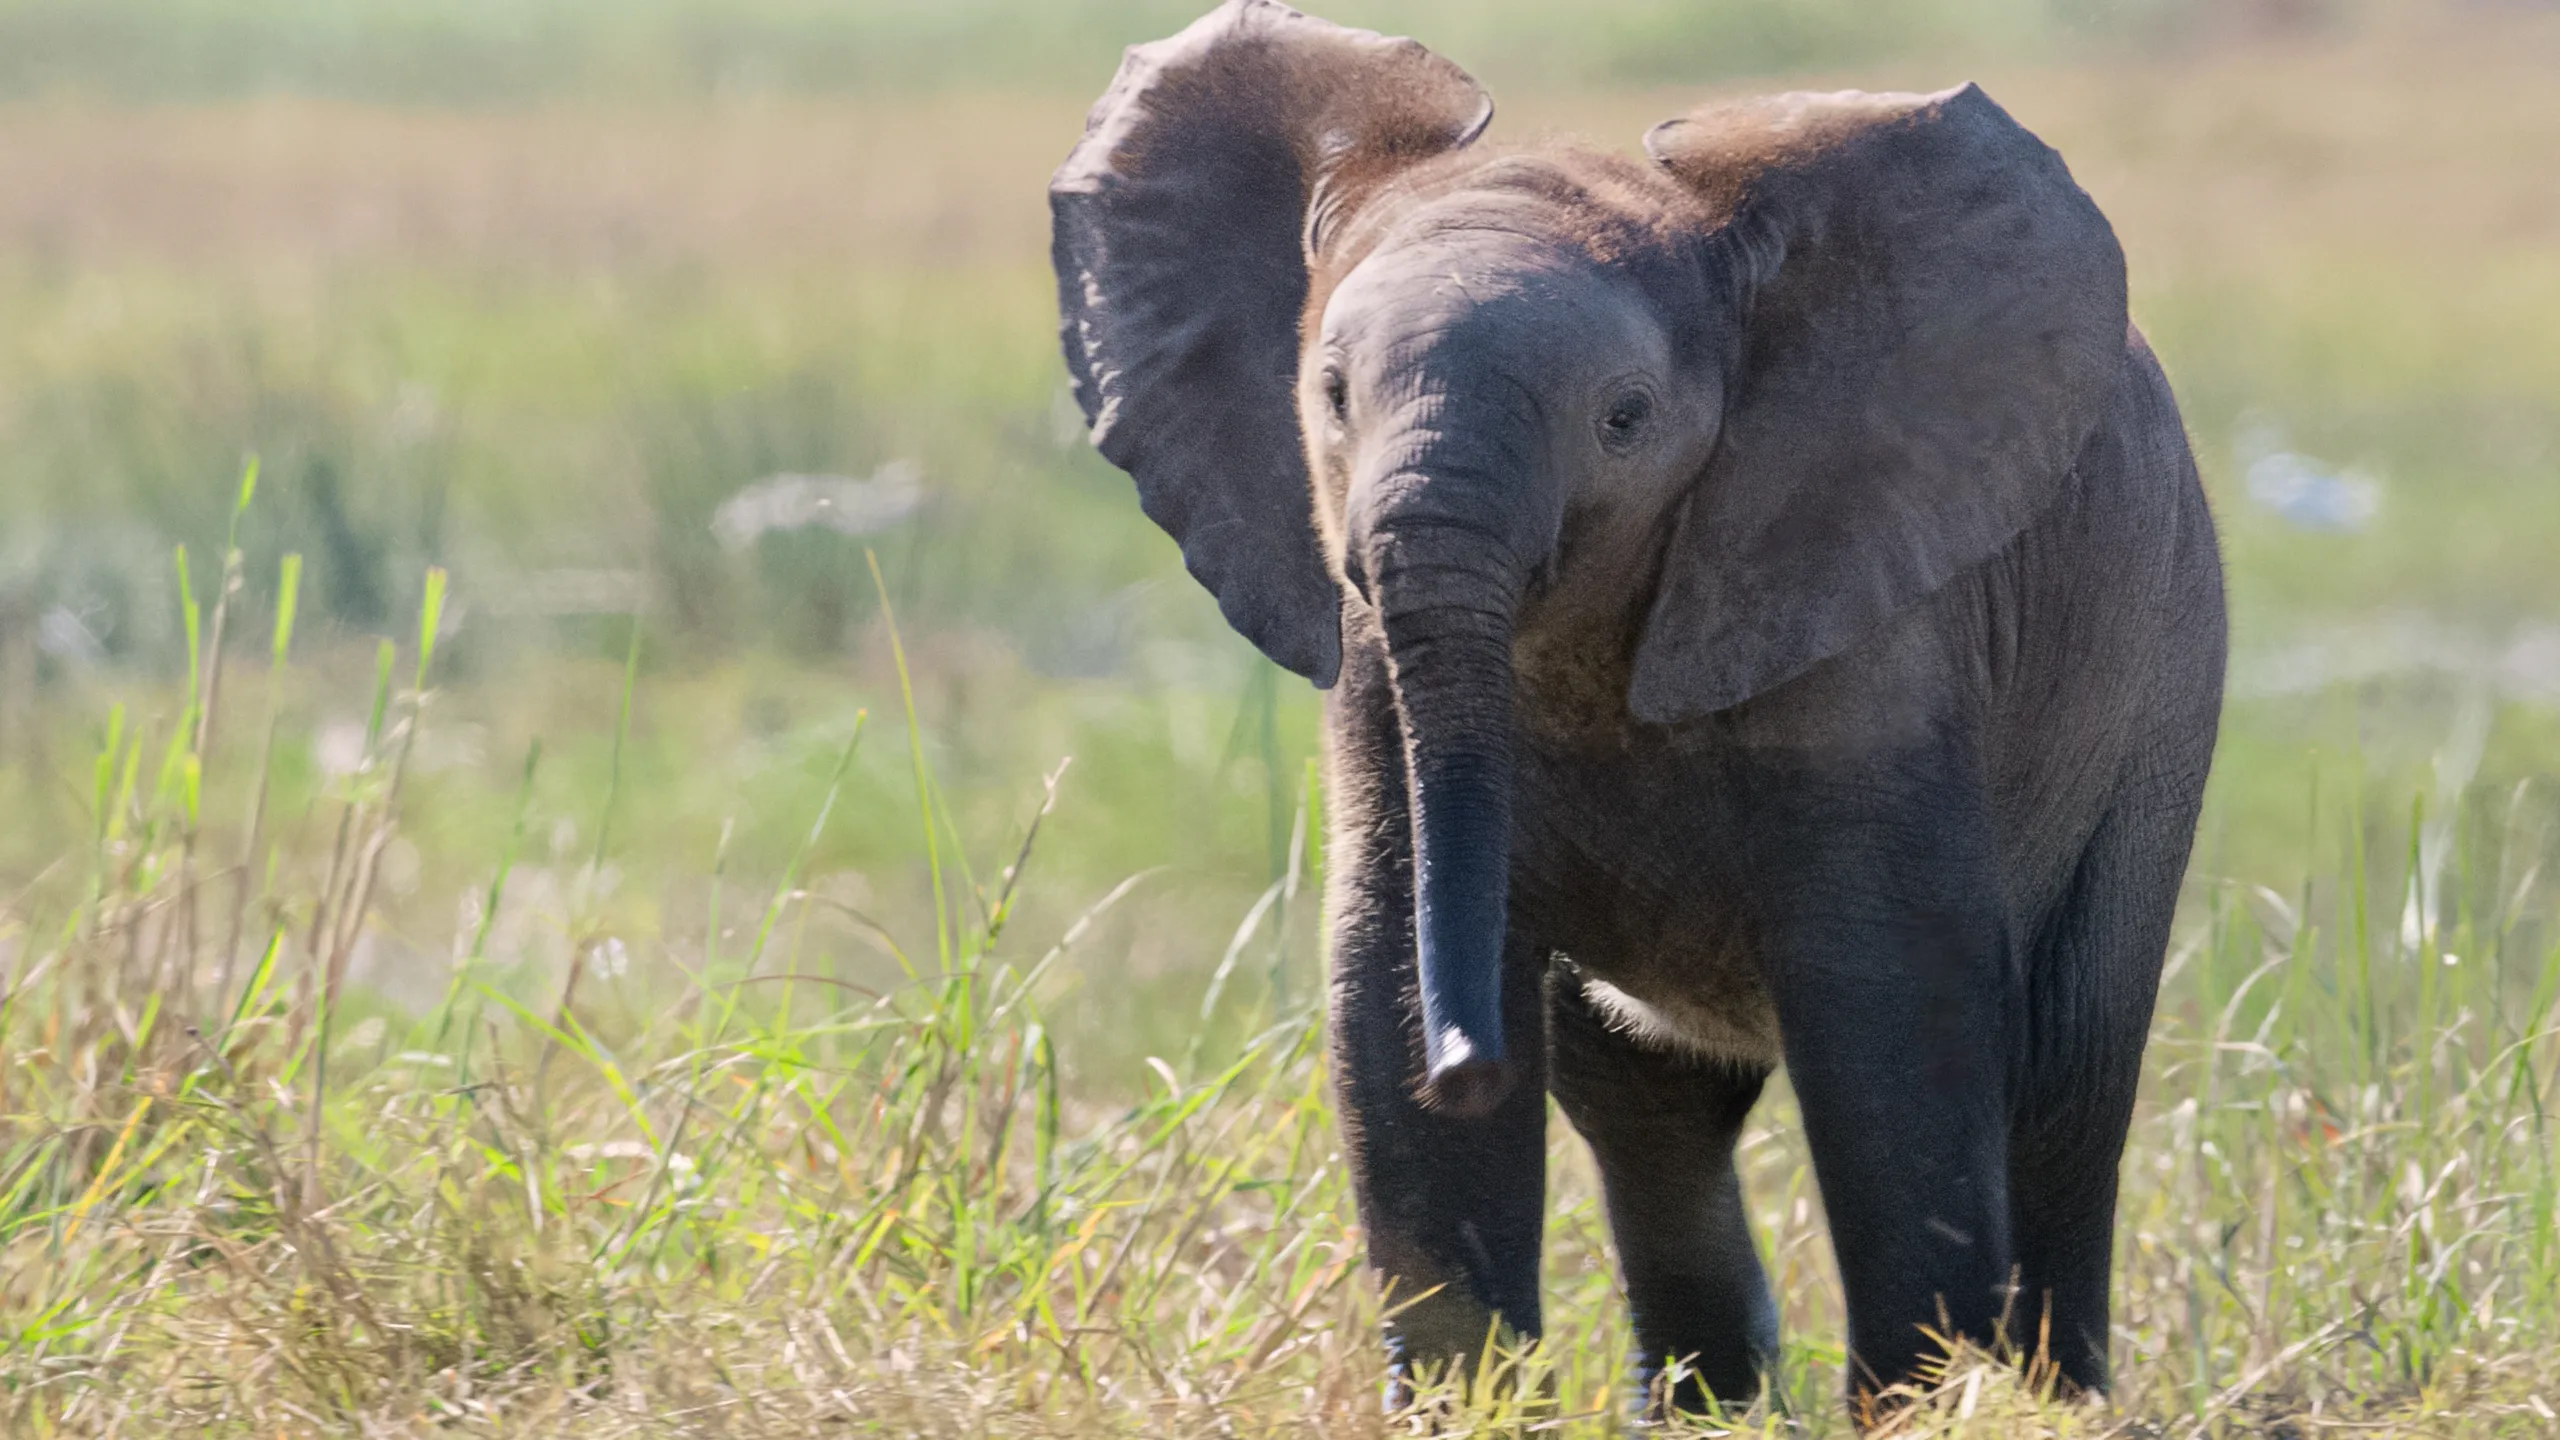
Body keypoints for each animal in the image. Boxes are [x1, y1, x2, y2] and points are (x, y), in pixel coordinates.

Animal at [1049, 0, 2225, 1416]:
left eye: (1623, 418)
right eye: (1328, 394)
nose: (1469, 1063)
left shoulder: (1868, 619)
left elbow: (1890, 1015)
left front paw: (1919, 1412)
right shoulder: (1375, 672)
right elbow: (1381, 975)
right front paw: (1465, 1407)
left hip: (2159, 693)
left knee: (2066, 1072)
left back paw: (2056, 1394)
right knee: (1651, 1105)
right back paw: (1708, 1408)